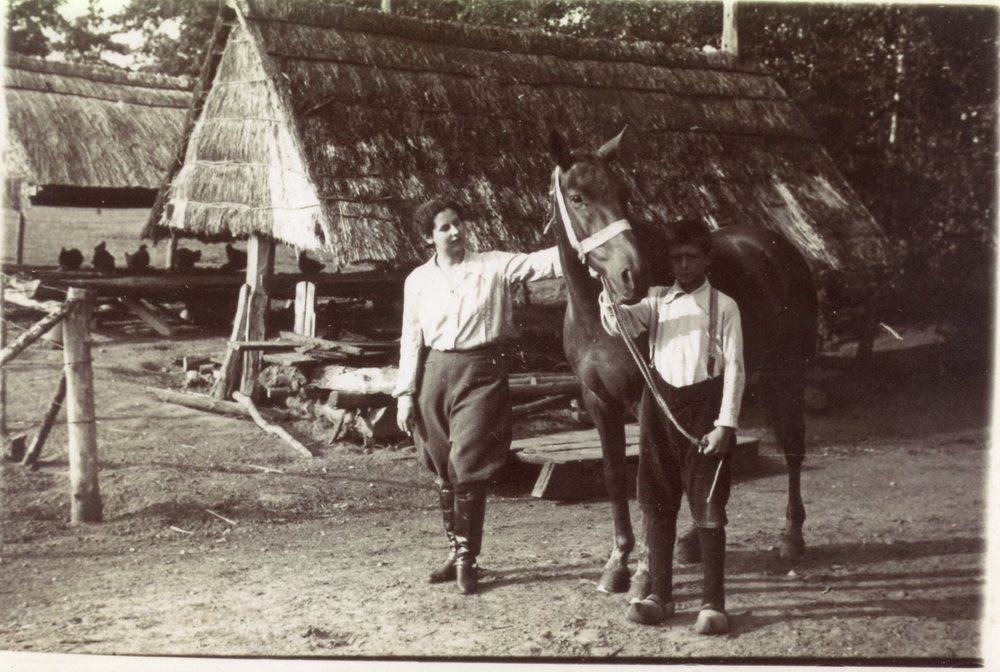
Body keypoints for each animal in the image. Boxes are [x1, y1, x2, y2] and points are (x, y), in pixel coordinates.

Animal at [547, 128, 818, 595]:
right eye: (577, 197)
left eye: (623, 193)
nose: (631, 276)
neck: (598, 320)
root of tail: (781, 248)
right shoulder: (598, 401)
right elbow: (616, 478)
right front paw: (617, 563)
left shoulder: (646, 402)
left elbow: (649, 483)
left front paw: (643, 573)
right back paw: (691, 540)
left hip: (788, 374)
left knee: (792, 447)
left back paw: (791, 537)